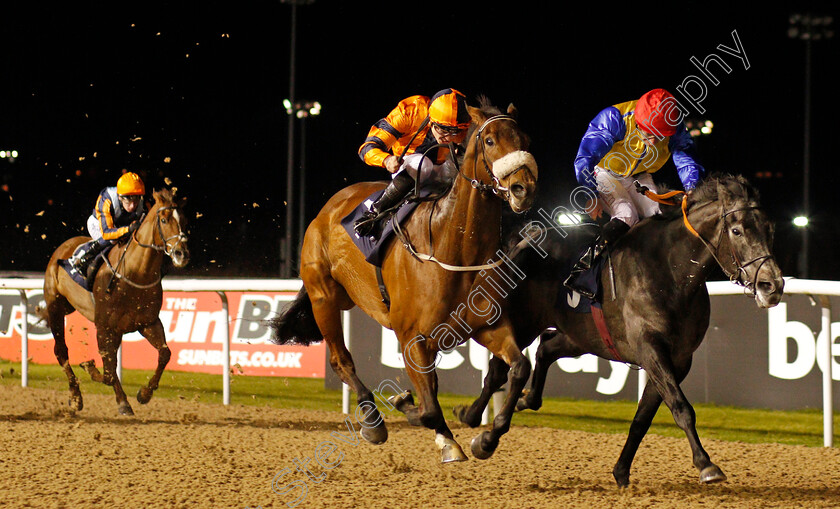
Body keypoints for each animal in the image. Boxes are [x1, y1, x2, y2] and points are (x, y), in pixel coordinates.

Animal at [43, 189, 190, 414]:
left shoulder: (147, 322)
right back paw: (76, 396)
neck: (135, 272)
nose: (182, 254)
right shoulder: (104, 326)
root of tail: (62, 247)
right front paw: (95, 373)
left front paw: (144, 393)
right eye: (164, 219)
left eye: (183, 220)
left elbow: (165, 354)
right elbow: (109, 370)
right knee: (61, 351)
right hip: (56, 308)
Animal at [270, 96, 540, 464]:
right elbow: (428, 409)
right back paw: (373, 421)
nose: (522, 188)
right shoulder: (412, 338)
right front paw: (421, 418)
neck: (453, 249)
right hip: (323, 297)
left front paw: (486, 438)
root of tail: (327, 209)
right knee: (342, 360)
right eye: (489, 140)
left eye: (525, 139)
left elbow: (518, 367)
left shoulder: (486, 326)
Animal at [456, 174, 784, 484]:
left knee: (545, 348)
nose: (772, 285)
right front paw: (706, 465)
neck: (671, 271)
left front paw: (621, 471)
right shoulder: (651, 348)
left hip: (583, 335)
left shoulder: (678, 359)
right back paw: (481, 429)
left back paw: (518, 402)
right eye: (737, 230)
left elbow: (643, 417)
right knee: (504, 369)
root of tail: (529, 237)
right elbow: (681, 407)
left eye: (769, 229)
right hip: (525, 322)